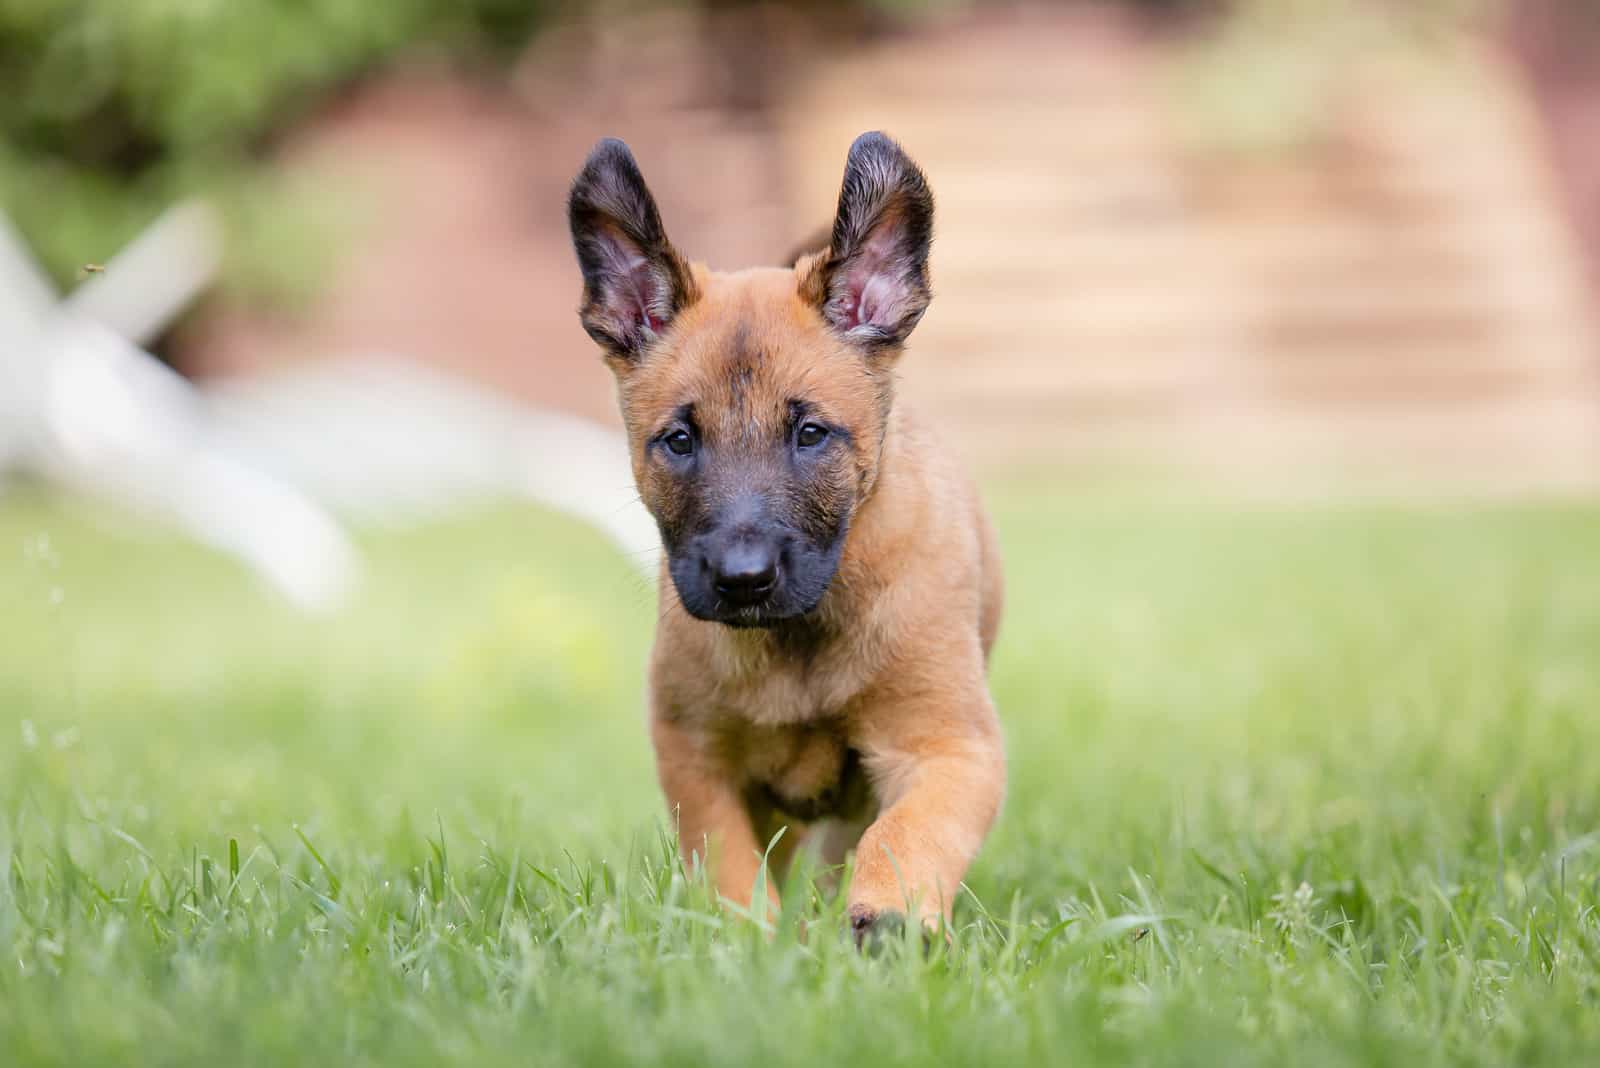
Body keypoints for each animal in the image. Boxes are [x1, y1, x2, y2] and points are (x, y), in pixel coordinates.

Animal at [569, 129, 1004, 940]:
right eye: (680, 440)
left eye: (809, 434)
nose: (743, 580)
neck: (797, 643)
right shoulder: (697, 761)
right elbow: (731, 869)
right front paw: (754, 945)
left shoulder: (948, 748)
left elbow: (910, 834)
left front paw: (885, 918)